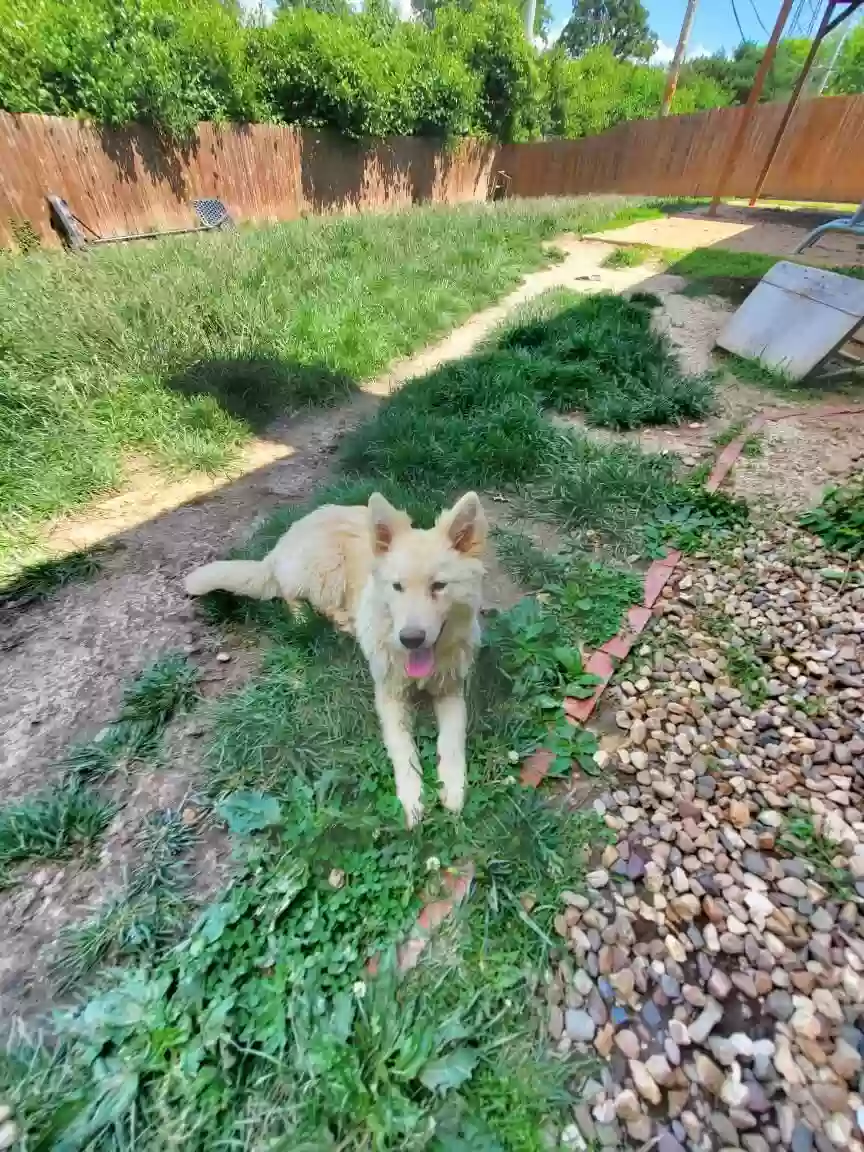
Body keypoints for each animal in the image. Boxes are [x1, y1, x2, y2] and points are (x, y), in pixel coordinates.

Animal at [184, 490, 488, 824]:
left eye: (438, 586)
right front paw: (413, 797)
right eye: (397, 586)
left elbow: (452, 739)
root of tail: (283, 542)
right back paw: (316, 618)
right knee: (292, 596)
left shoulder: (451, 690)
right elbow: (403, 747)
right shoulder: (389, 696)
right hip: (325, 575)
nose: (410, 639)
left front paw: (453, 789)